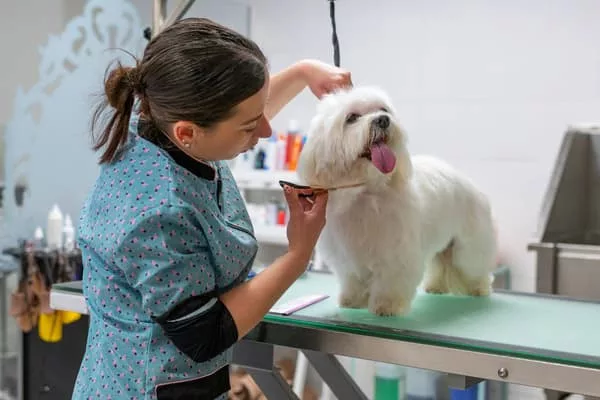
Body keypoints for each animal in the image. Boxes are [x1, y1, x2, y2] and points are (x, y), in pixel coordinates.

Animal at [296, 86, 496, 316]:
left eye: (384, 110)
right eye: (352, 118)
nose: (383, 120)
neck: (367, 192)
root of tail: (470, 184)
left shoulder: (396, 253)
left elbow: (391, 281)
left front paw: (386, 305)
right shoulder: (348, 256)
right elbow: (353, 280)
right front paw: (352, 300)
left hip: (468, 248)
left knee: (474, 267)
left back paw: (480, 288)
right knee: (440, 262)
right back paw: (436, 286)